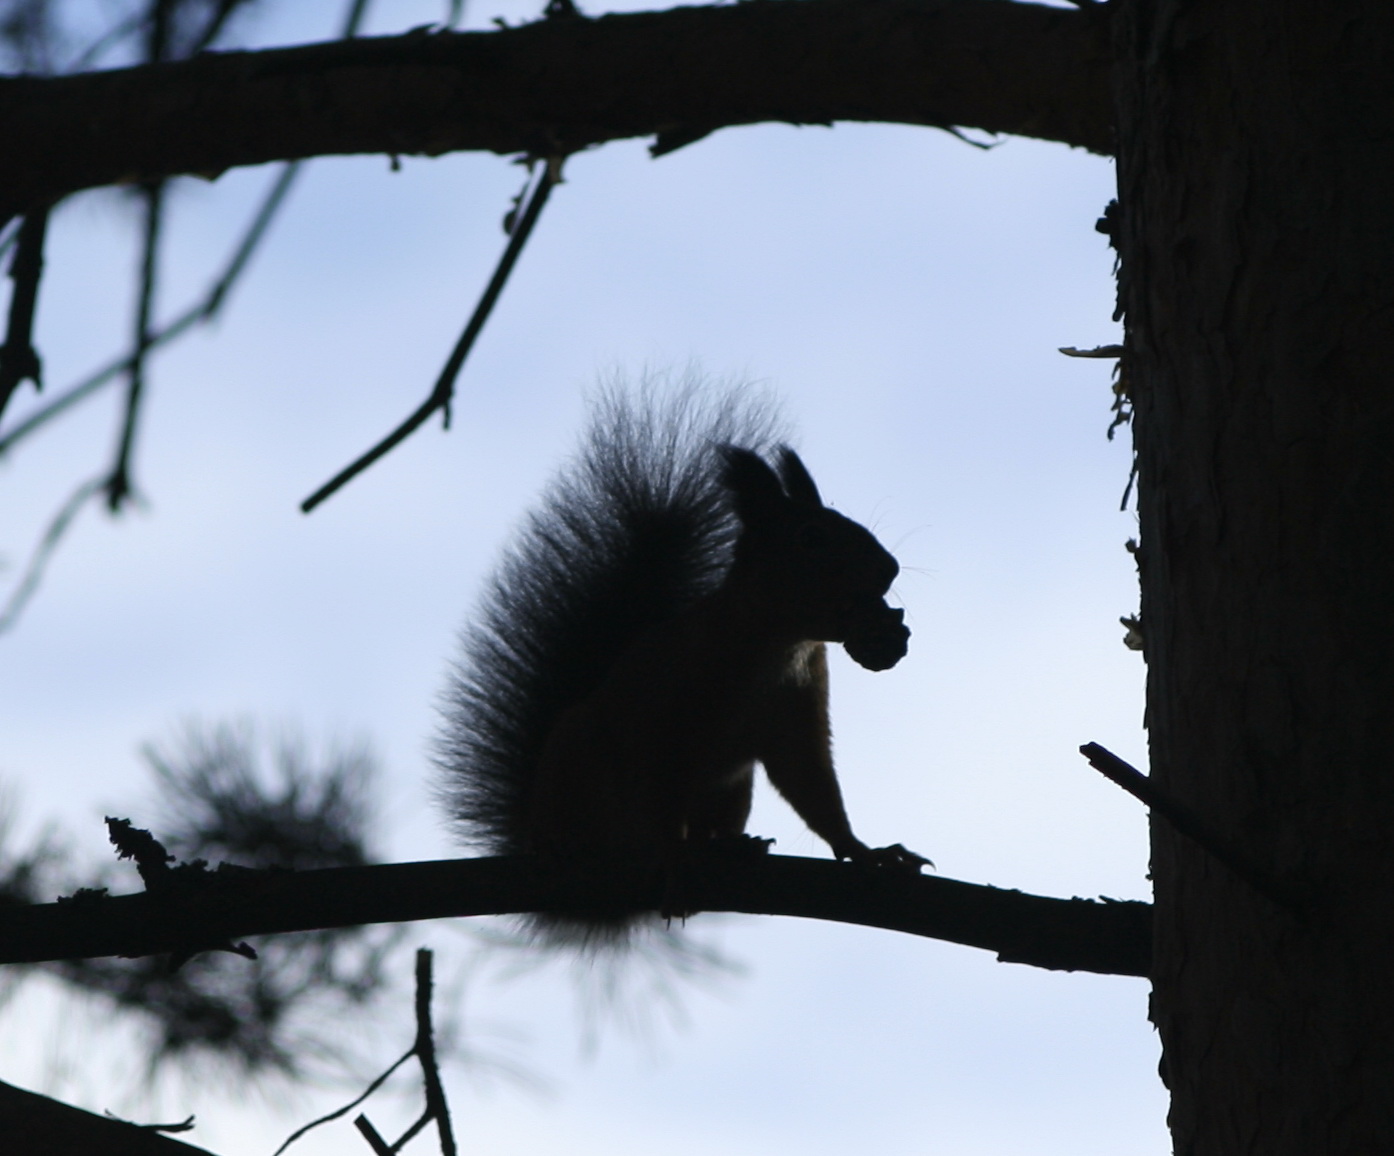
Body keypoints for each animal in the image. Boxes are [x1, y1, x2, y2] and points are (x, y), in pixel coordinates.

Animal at [434, 382, 931, 942]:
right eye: (810, 538)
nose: (889, 568)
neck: (777, 643)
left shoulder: (798, 713)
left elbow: (812, 784)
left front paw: (864, 853)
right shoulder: (669, 717)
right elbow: (664, 785)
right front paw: (673, 857)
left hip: (731, 788)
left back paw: (728, 844)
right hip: (577, 756)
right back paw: (561, 844)